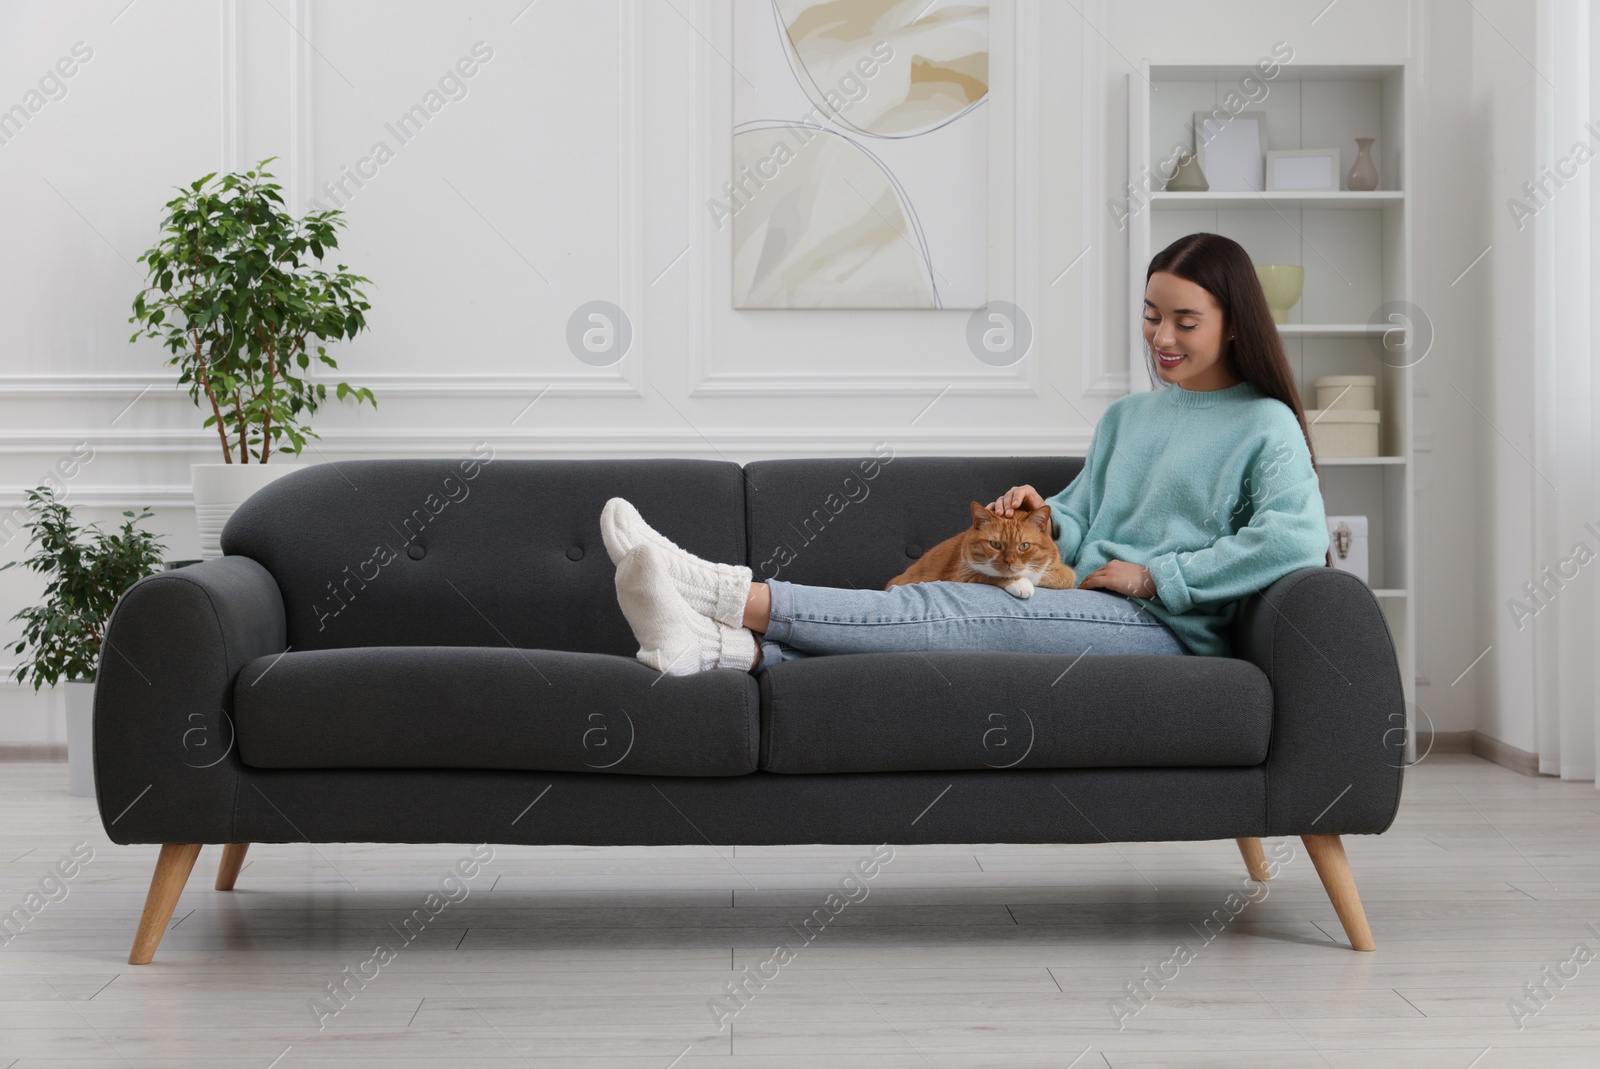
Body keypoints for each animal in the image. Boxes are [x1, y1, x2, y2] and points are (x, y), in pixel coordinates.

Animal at [889, 499, 1075, 598]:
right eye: (995, 544)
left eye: (1024, 546)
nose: (1010, 562)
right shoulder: (961, 574)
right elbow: (989, 574)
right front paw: (1020, 582)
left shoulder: (1065, 572)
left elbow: (1063, 577)